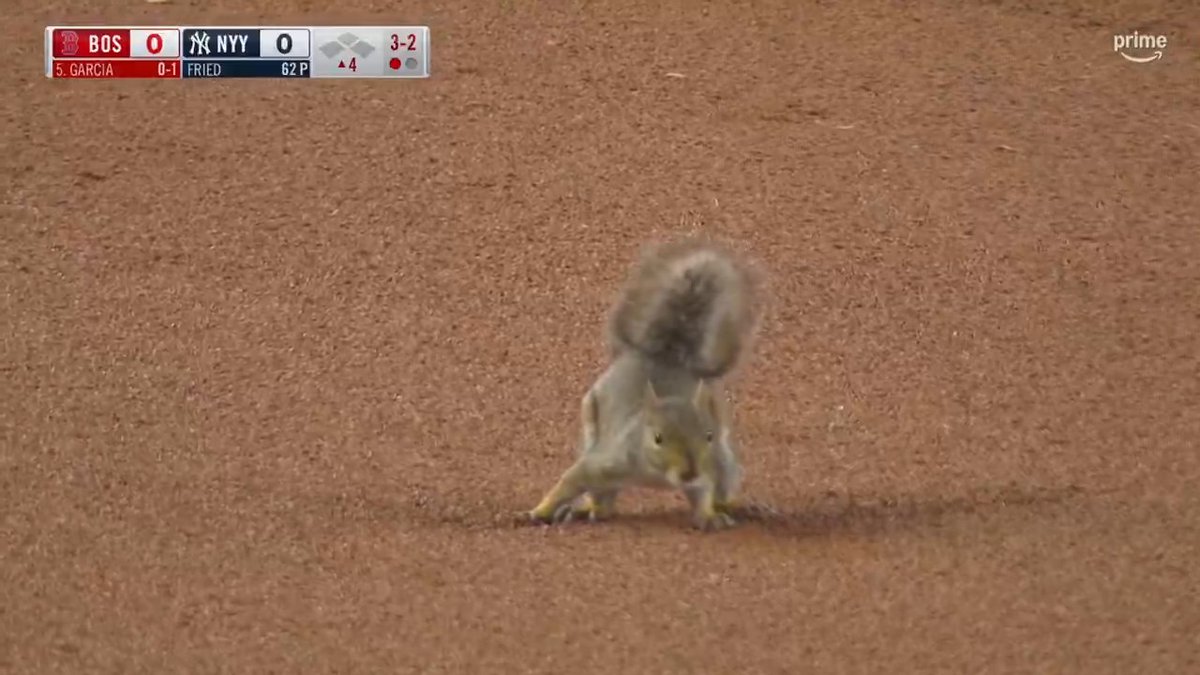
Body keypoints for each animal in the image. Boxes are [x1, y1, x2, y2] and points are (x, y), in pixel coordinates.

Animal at [525, 236, 764, 532]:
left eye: (707, 435)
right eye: (658, 438)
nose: (690, 471)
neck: (658, 475)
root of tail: (665, 355)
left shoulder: (704, 470)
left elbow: (703, 492)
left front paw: (708, 516)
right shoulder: (607, 461)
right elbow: (571, 481)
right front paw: (540, 511)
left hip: (721, 452)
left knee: (722, 477)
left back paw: (730, 507)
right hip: (592, 421)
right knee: (603, 497)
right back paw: (590, 508)